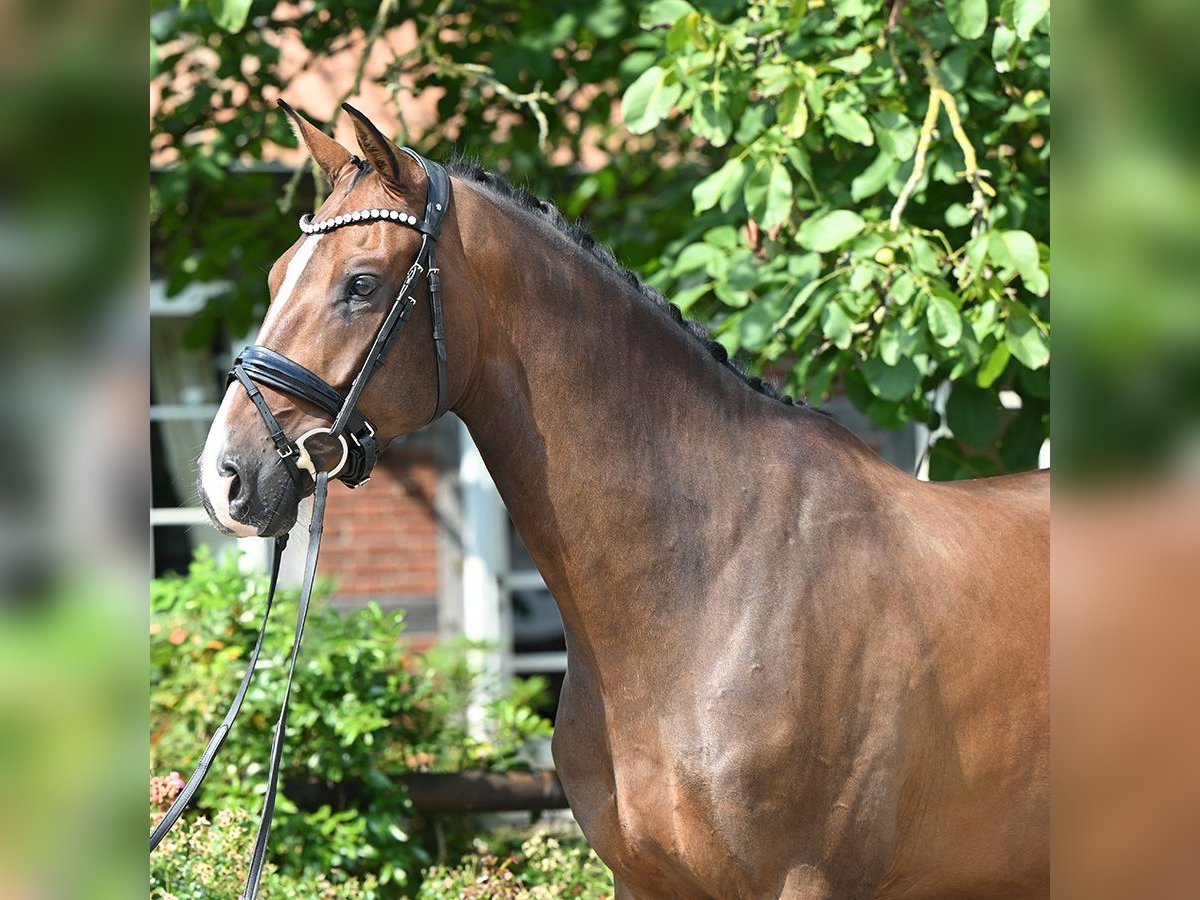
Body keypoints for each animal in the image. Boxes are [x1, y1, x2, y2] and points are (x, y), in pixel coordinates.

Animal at [199, 103, 1051, 897]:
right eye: (276, 276)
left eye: (362, 284)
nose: (224, 476)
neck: (714, 585)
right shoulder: (640, 878)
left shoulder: (809, 880)